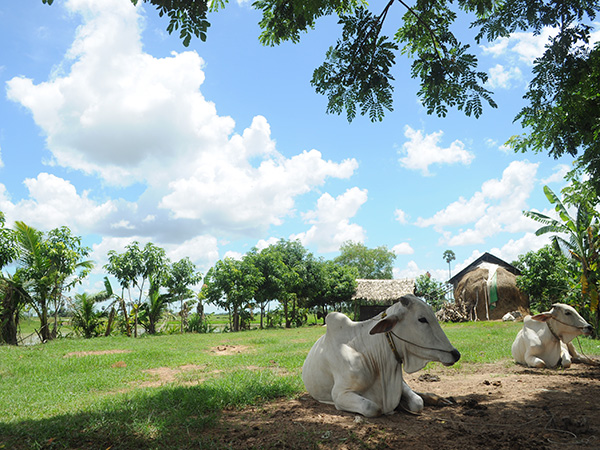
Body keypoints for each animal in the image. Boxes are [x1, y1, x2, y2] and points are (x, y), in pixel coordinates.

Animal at [302, 296, 462, 418]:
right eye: (422, 319)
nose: (455, 354)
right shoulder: (340, 394)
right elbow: (373, 408)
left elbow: (417, 402)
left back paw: (439, 399)